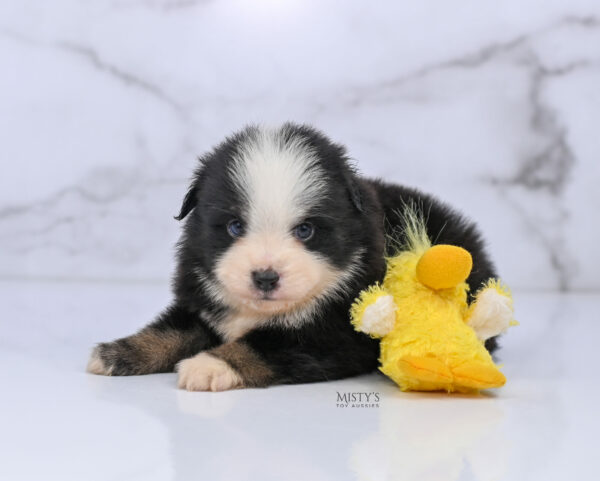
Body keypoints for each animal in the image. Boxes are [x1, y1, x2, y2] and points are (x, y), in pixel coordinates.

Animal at [86, 124, 508, 390]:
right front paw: (115, 353)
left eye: (305, 230)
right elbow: (170, 331)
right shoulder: (200, 300)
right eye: (235, 226)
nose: (265, 277)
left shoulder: (332, 331)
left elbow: (264, 345)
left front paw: (210, 365)